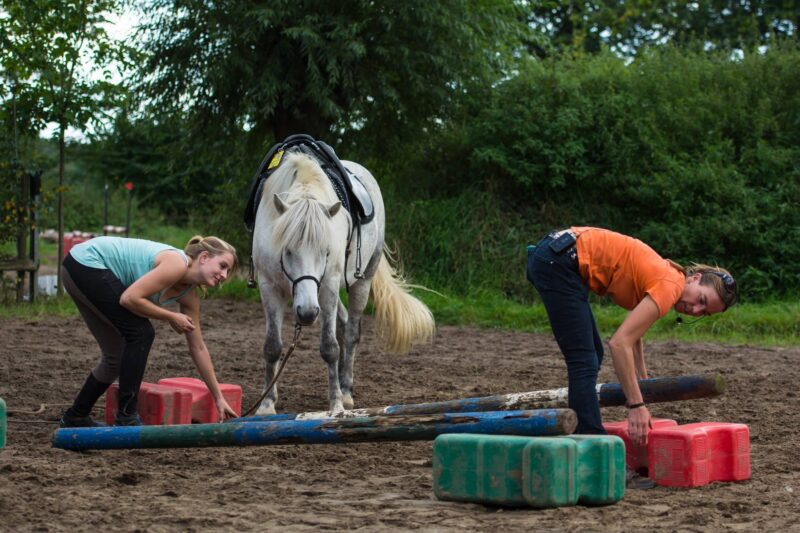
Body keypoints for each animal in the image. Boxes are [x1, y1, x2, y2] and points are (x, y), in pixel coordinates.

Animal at [252, 151, 435, 414]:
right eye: (287, 250)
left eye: (325, 252)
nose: (307, 313)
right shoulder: (269, 286)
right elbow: (272, 346)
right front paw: (266, 404)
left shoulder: (327, 285)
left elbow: (330, 348)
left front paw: (336, 403)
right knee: (342, 324)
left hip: (361, 280)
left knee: (350, 333)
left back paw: (346, 389)